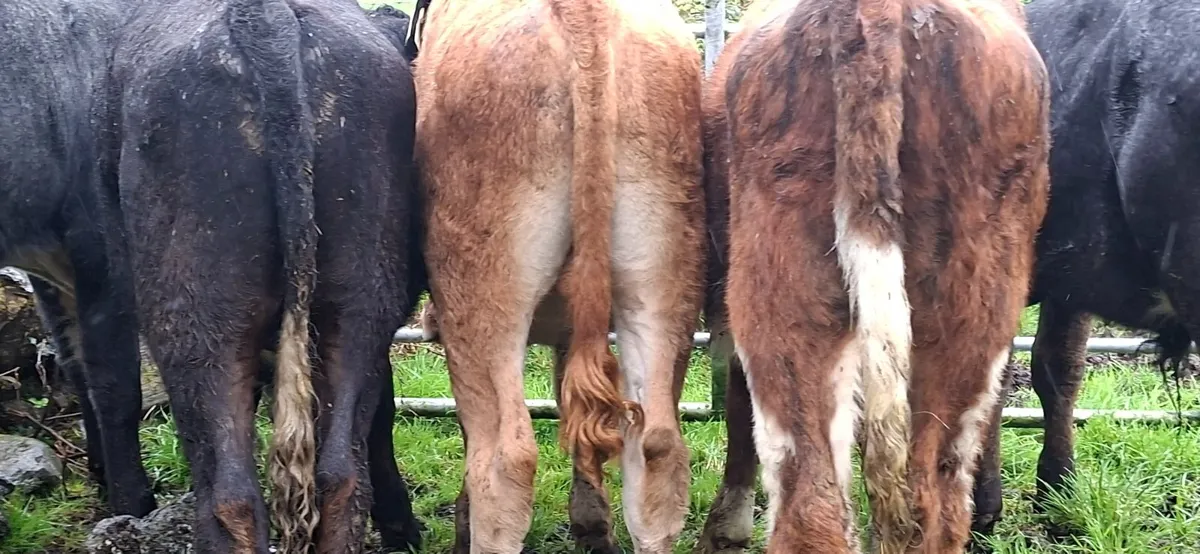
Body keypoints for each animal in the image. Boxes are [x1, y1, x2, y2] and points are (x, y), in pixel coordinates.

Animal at [406, 0, 706, 551]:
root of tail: (585, 16)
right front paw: (591, 526)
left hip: (480, 296)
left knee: (504, 460)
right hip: (664, 274)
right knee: (655, 449)